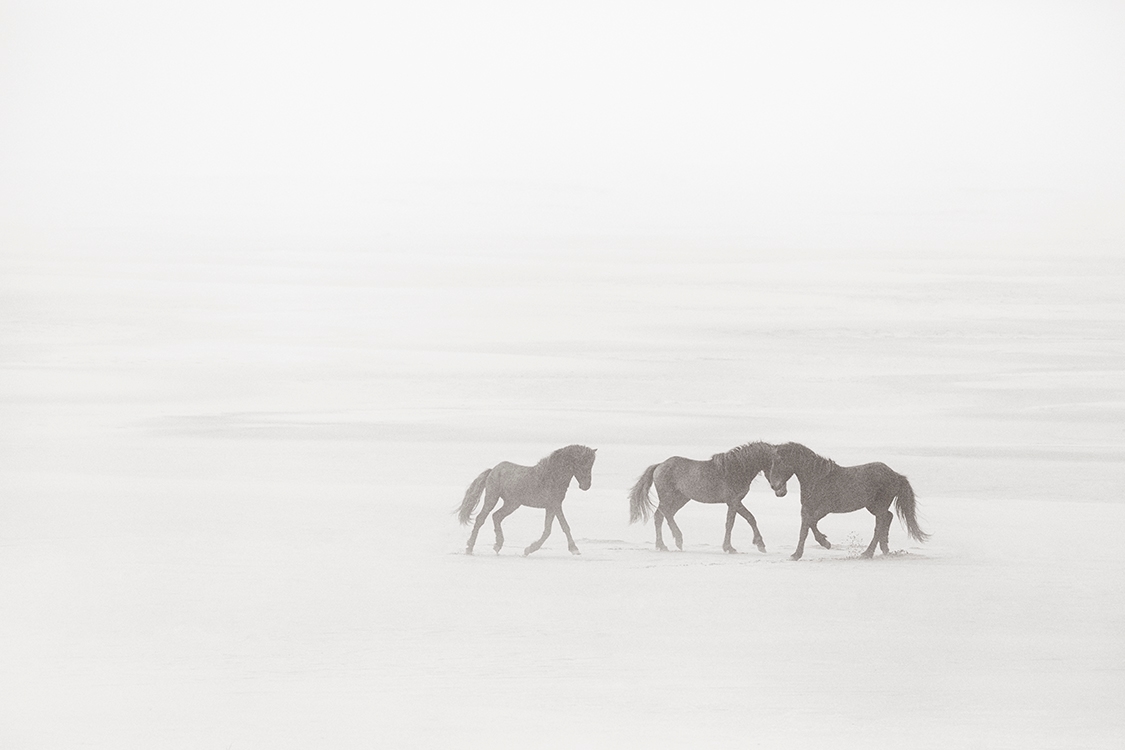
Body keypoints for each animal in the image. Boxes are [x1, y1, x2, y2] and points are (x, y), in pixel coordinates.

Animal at [457, 444, 597, 556]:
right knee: (481, 518)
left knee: (496, 516)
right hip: (492, 498)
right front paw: (574, 549)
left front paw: (529, 549)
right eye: (581, 462)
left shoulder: (551, 507)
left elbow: (548, 530)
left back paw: (497, 545)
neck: (551, 476)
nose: (586, 486)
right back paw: (470, 548)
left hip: (512, 504)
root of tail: (493, 470)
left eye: (591, 464)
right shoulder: (555, 505)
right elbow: (564, 526)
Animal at [628, 441, 788, 553]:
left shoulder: (734, 503)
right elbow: (744, 520)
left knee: (662, 516)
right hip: (669, 498)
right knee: (663, 514)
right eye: (778, 466)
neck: (736, 469)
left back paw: (663, 545)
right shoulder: (734, 501)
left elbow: (736, 521)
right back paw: (676, 540)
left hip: (681, 499)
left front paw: (733, 546)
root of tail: (660, 465)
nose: (782, 492)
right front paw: (750, 546)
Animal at [765, 442, 929, 560]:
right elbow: (804, 530)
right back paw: (884, 549)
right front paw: (796, 555)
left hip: (878, 507)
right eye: (771, 461)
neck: (817, 478)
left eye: (780, 461)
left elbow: (811, 523)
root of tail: (895, 475)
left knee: (880, 524)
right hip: (874, 507)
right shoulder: (806, 509)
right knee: (888, 518)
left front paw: (826, 543)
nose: (775, 487)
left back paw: (867, 553)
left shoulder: (824, 509)